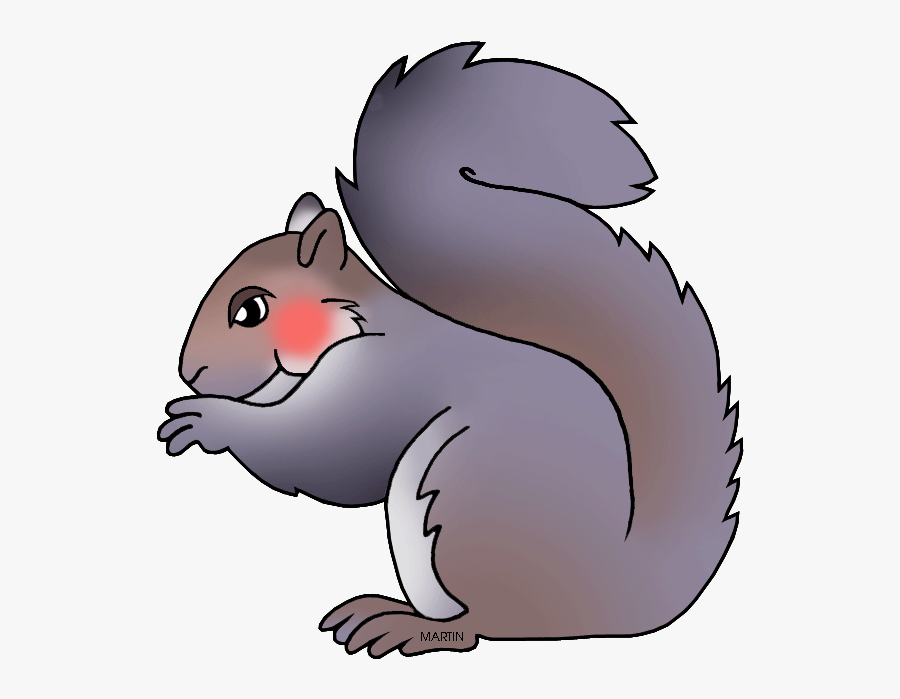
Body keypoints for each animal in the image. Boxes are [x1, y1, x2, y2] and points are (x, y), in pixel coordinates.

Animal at [158, 42, 740, 657]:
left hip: (456, 506)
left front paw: (209, 419)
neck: (350, 325)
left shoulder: (379, 382)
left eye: (250, 310)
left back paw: (400, 624)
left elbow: (318, 453)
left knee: (478, 627)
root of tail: (612, 600)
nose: (190, 371)